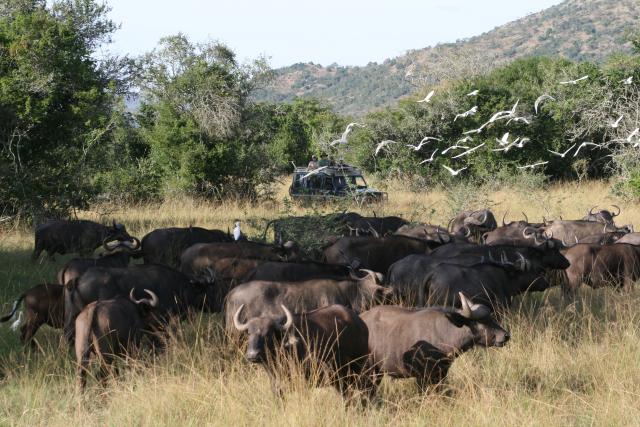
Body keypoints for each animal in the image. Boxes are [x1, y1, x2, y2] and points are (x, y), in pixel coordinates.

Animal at [361, 293, 509, 394]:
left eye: (490, 317)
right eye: (479, 321)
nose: (505, 335)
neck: (443, 333)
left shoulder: (441, 374)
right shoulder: (421, 377)